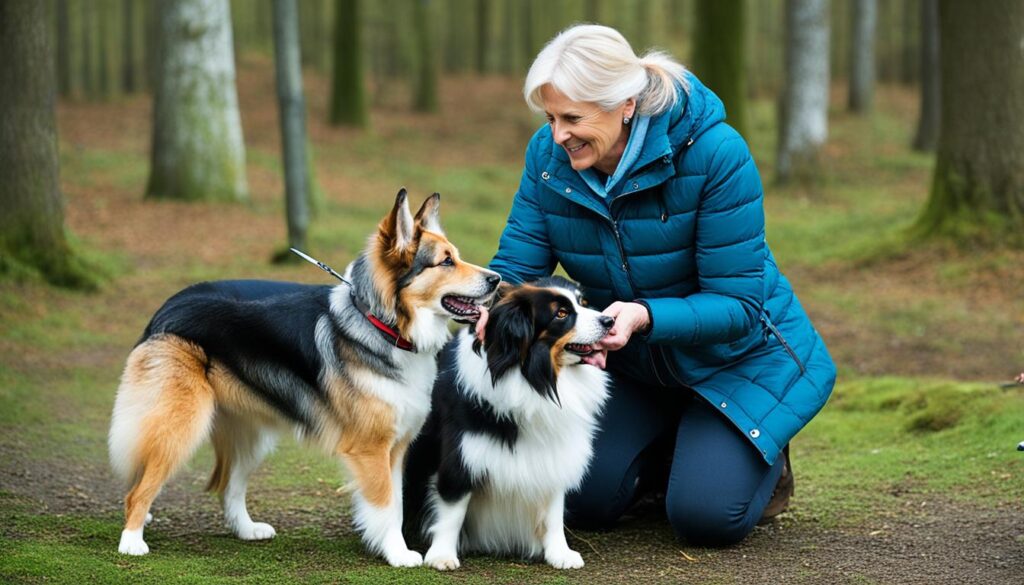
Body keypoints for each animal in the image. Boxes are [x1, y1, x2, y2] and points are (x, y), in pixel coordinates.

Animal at [108, 192, 499, 569]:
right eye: (445, 262)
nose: (496, 279)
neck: (382, 325)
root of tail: (166, 308)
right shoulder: (371, 448)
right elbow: (386, 506)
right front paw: (397, 554)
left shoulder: (396, 448)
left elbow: (397, 504)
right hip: (180, 425)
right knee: (138, 490)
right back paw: (132, 541)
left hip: (251, 432)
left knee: (227, 485)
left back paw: (247, 529)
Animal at [405, 276, 614, 569]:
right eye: (561, 314)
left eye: (583, 302)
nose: (609, 320)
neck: (533, 377)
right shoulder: (462, 455)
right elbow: (453, 508)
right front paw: (442, 555)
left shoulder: (556, 454)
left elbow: (554, 509)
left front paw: (560, 553)